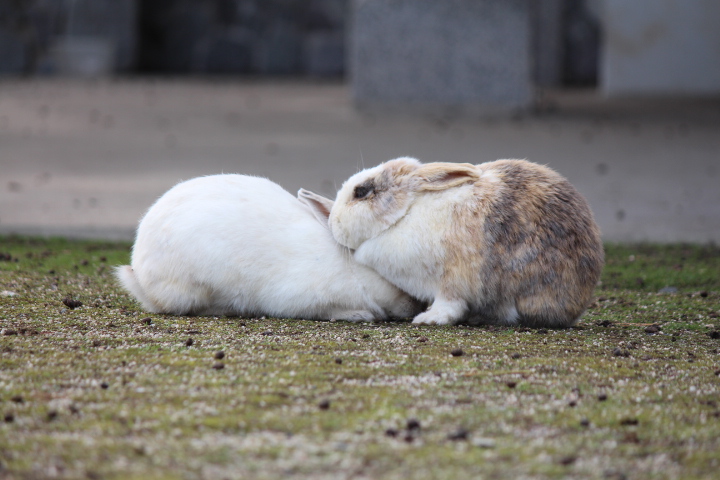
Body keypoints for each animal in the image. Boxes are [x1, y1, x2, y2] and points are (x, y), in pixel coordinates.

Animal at [115, 174, 420, 320]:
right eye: (385, 271)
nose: (413, 306)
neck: (352, 270)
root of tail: (139, 276)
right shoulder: (303, 298)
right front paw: (359, 315)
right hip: (194, 288)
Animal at [302, 158, 600, 326]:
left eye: (361, 191)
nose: (334, 223)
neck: (403, 215)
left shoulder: (451, 281)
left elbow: (449, 304)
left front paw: (428, 320)